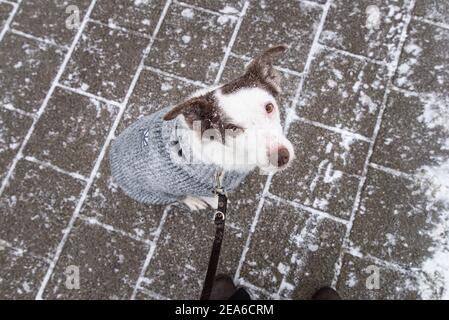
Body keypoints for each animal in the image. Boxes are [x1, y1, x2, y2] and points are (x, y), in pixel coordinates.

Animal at [109, 44, 294, 210]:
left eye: (269, 107)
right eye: (232, 128)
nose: (281, 157)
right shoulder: (209, 190)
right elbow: (213, 200)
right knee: (179, 197)